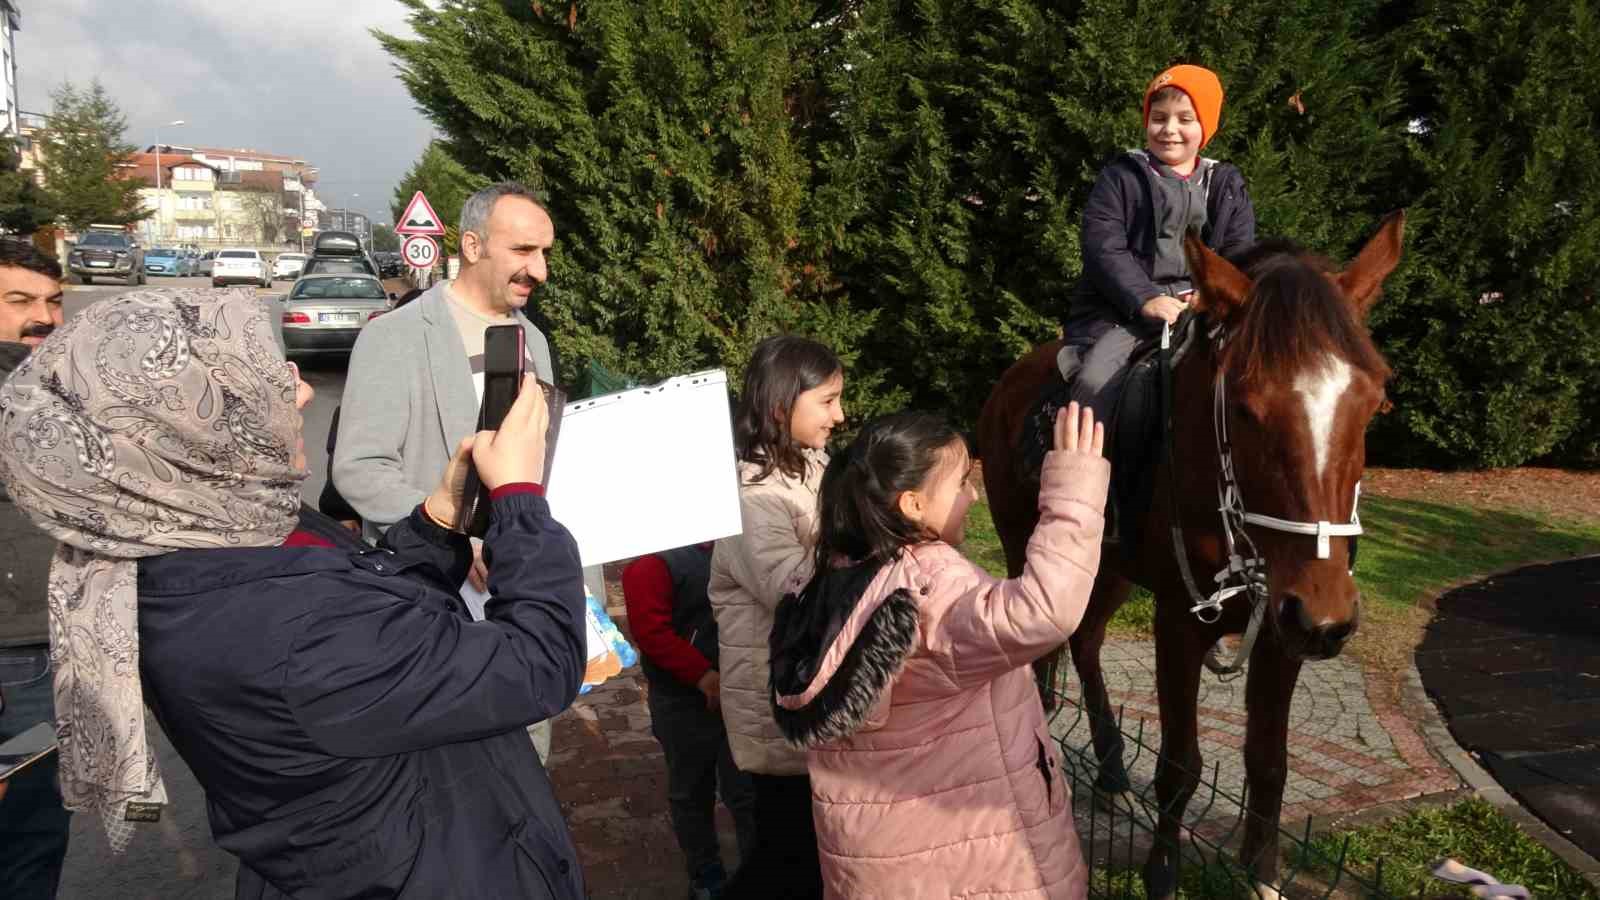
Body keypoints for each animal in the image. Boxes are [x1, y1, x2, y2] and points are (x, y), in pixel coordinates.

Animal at [972, 212, 1401, 890]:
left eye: (1375, 401)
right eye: (1246, 407)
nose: (1327, 615)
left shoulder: (1281, 630)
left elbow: (1269, 763)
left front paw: (1261, 876)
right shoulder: (1178, 621)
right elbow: (1179, 765)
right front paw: (1162, 873)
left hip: (1108, 570)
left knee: (1085, 642)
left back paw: (1112, 769)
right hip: (1024, 546)